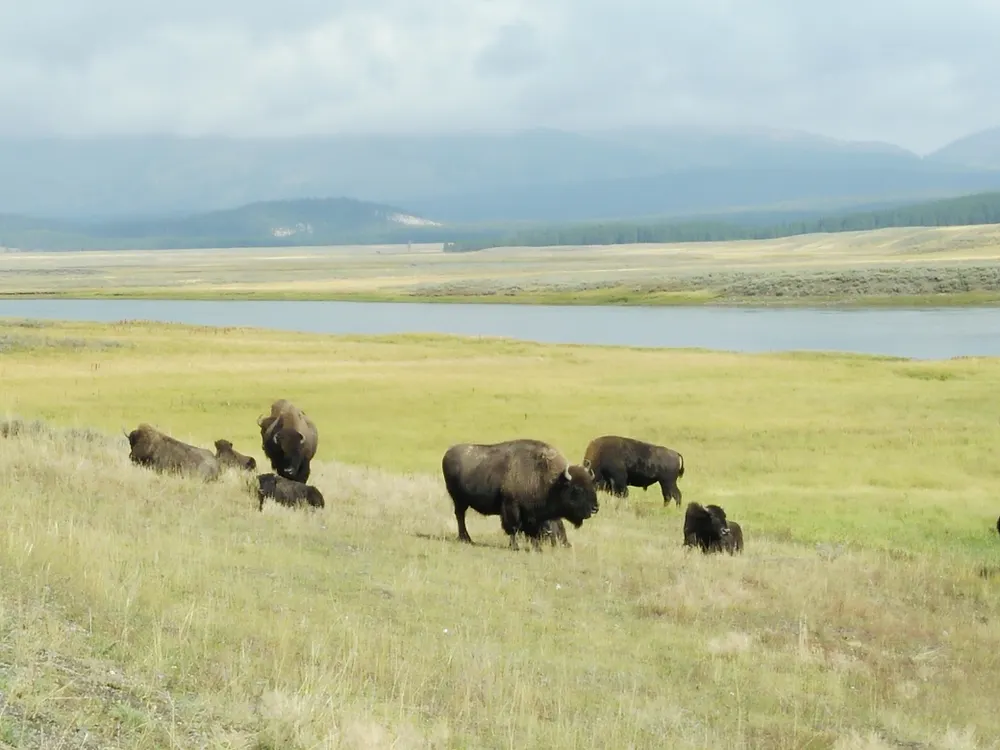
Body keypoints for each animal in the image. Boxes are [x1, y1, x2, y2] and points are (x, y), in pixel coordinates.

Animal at [441, 438, 599, 551]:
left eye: (592, 486)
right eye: (577, 488)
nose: (595, 508)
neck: (552, 482)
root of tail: (448, 453)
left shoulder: (534, 515)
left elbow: (533, 531)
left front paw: (537, 548)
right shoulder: (511, 507)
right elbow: (513, 528)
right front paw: (515, 547)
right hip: (459, 501)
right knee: (460, 517)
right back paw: (466, 539)